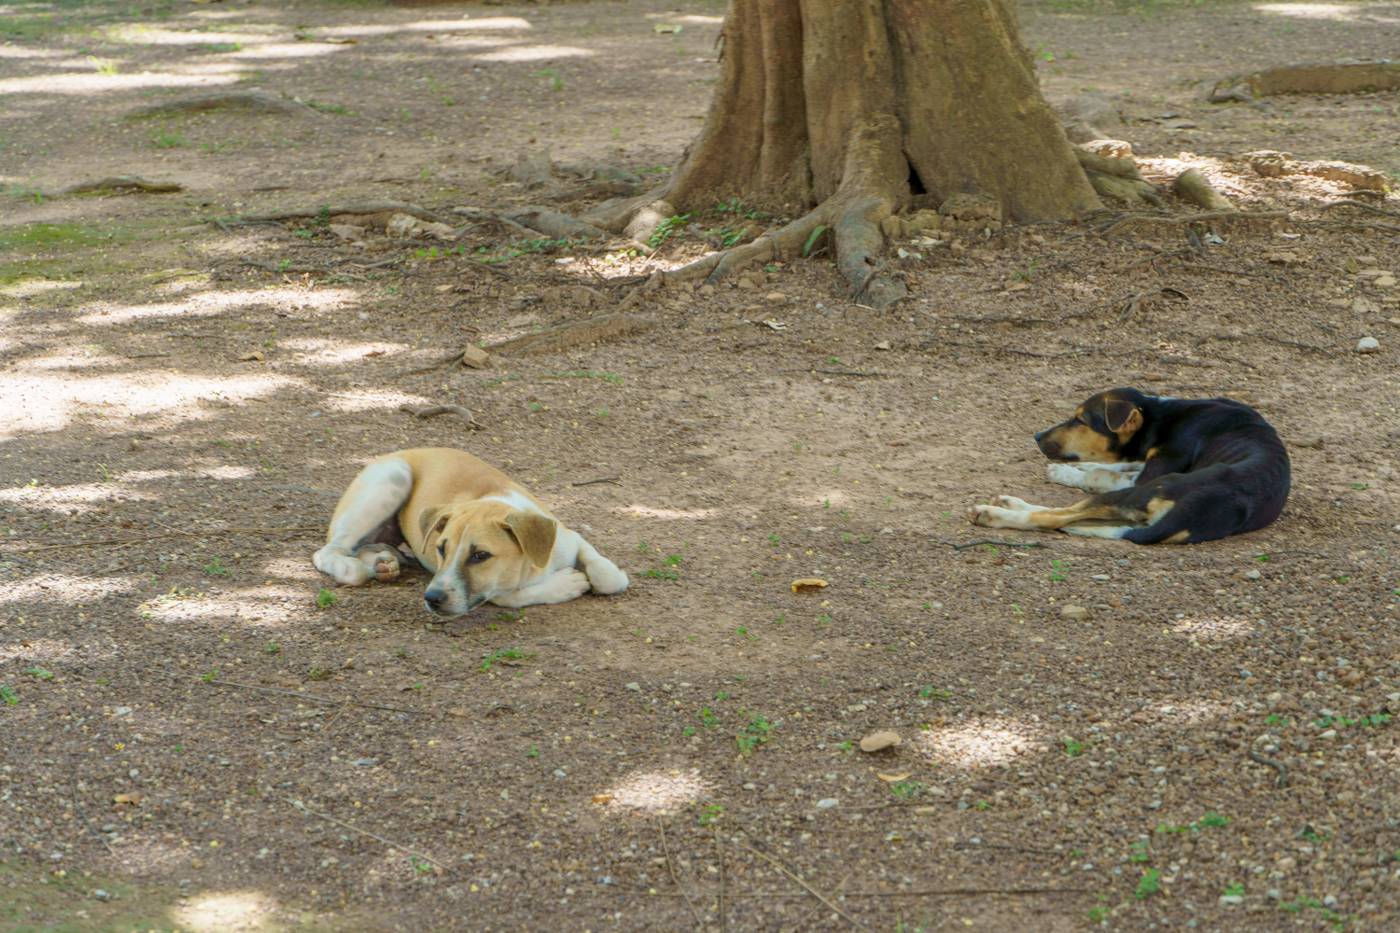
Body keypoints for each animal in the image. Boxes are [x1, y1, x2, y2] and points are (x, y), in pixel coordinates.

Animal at [315, 448, 632, 613]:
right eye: (441, 549)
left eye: (481, 555)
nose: (432, 599)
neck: (533, 563)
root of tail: (397, 452)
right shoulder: (494, 589)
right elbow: (508, 595)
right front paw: (566, 584)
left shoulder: (571, 539)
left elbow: (607, 576)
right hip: (391, 479)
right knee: (327, 552)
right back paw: (354, 568)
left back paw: (383, 562)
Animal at [974, 383, 1288, 540]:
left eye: (1080, 420)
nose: (1037, 437)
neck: (1157, 415)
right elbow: (1112, 466)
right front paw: (1071, 468)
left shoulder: (1153, 472)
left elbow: (1101, 474)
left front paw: (1067, 472)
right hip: (1133, 512)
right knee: (1067, 516)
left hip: (1147, 490)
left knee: (1053, 517)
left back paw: (996, 512)